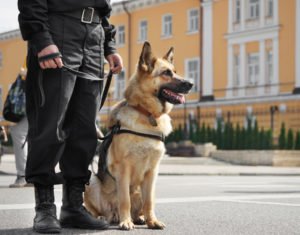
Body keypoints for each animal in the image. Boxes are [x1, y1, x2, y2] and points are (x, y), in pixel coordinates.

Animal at [84, 41, 192, 229]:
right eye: (166, 73)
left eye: (175, 71)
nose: (191, 83)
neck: (146, 114)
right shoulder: (123, 170)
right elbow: (124, 200)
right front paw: (125, 222)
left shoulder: (152, 173)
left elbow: (149, 202)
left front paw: (152, 221)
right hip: (92, 182)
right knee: (100, 210)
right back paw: (104, 218)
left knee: (140, 206)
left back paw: (139, 218)